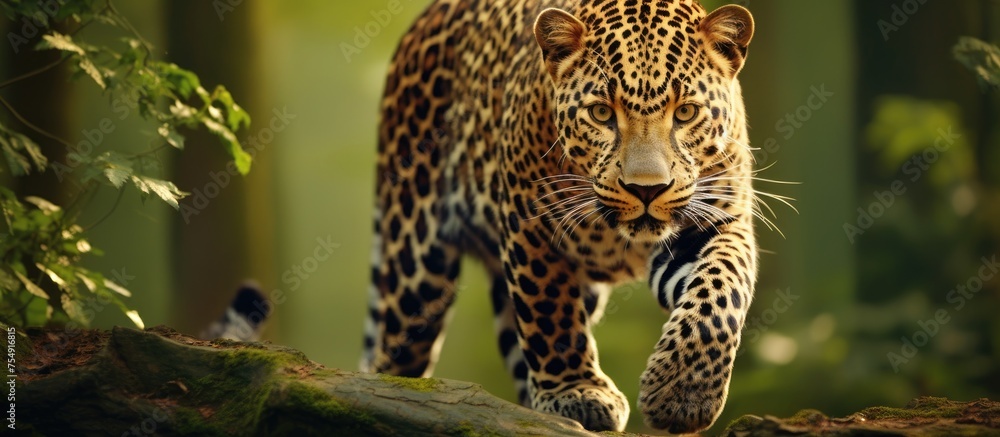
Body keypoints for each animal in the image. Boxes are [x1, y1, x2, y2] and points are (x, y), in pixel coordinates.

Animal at [361, 0, 760, 432]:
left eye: (686, 113)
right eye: (601, 113)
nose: (646, 189)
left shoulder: (713, 223)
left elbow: (722, 290)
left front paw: (682, 392)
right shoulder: (530, 225)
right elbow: (550, 311)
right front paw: (577, 391)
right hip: (413, 264)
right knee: (395, 353)